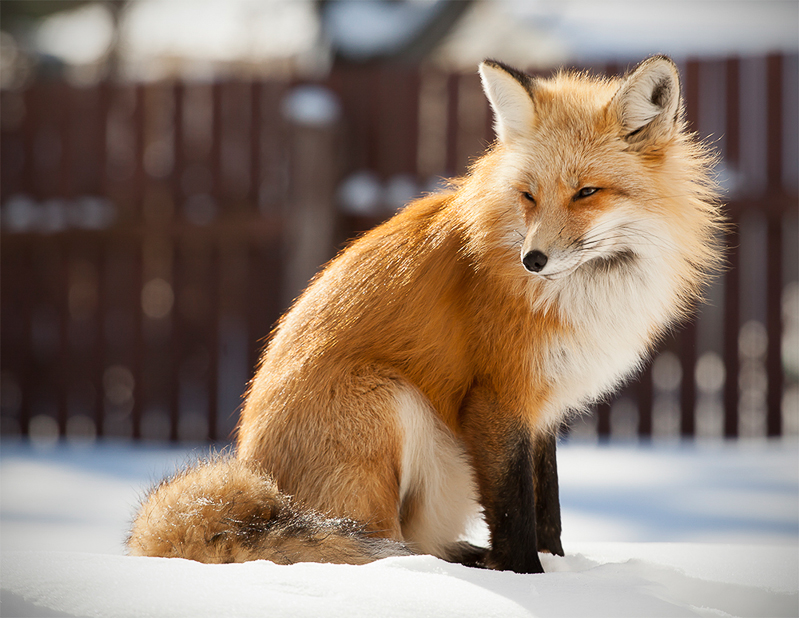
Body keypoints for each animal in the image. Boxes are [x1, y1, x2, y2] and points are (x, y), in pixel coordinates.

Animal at [128, 57, 720, 572]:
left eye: (587, 192)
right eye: (528, 196)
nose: (532, 260)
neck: (587, 293)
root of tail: (259, 478)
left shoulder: (542, 405)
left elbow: (546, 509)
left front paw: (558, 570)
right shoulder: (497, 397)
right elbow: (515, 514)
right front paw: (526, 577)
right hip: (391, 402)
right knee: (375, 547)